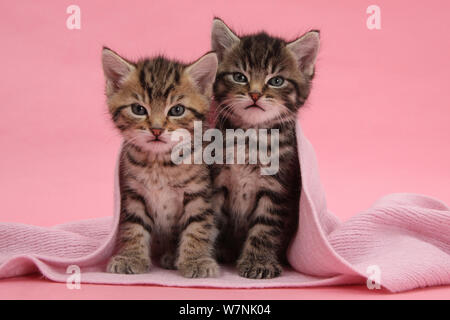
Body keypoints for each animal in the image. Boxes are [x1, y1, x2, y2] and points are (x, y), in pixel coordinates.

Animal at [103, 47, 220, 278]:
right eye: (138, 109)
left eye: (177, 110)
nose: (156, 129)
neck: (159, 164)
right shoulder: (133, 194)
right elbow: (133, 226)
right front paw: (131, 257)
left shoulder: (198, 193)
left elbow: (197, 226)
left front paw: (196, 261)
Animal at [211, 18, 320, 278]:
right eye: (239, 77)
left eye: (276, 81)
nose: (254, 94)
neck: (249, 136)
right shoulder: (218, 181)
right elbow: (213, 217)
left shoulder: (278, 187)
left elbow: (266, 228)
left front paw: (259, 262)